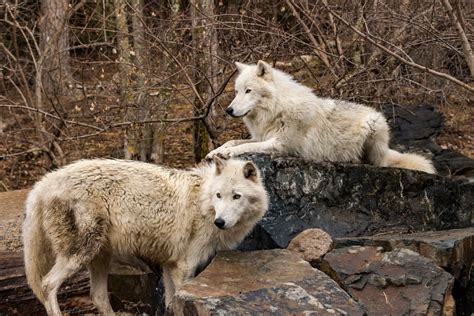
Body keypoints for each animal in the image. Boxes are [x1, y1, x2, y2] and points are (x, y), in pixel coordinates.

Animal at [23, 157, 266, 314]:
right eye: (219, 195)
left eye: (236, 196)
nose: (220, 221)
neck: (203, 202)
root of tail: (43, 184)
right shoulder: (184, 267)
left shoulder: (169, 265)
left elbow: (170, 304)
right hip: (80, 254)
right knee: (47, 285)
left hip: (99, 256)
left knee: (98, 296)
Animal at [206, 60, 436, 174]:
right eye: (237, 91)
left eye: (249, 91)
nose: (228, 110)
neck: (278, 108)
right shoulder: (260, 136)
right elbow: (232, 140)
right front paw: (215, 152)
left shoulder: (280, 145)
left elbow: (245, 146)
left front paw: (228, 153)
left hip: (373, 126)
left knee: (378, 164)